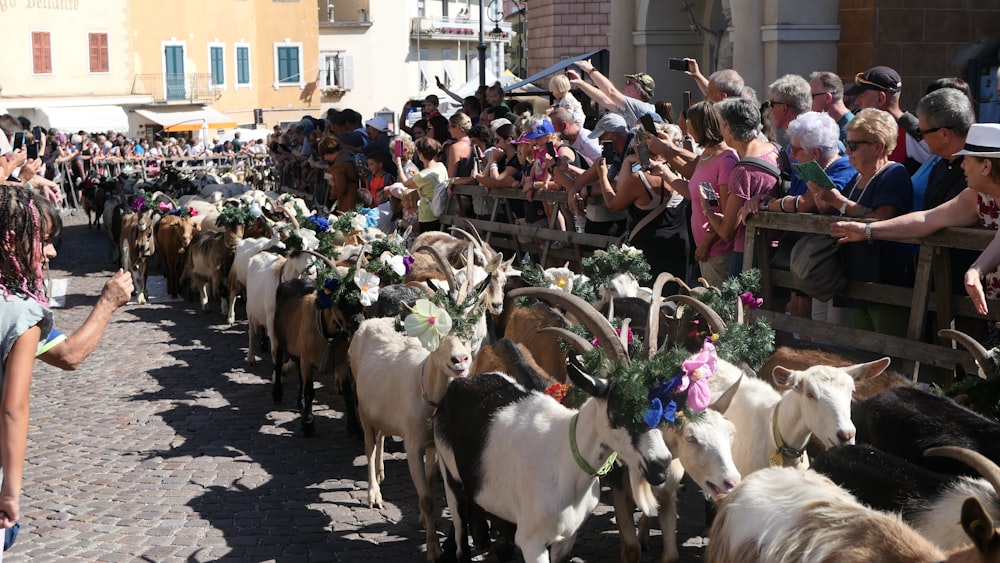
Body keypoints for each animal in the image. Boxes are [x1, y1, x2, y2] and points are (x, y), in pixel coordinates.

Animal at [432, 288, 672, 563]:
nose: (661, 465)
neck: (566, 459)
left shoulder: (566, 539)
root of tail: (460, 385)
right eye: (619, 407)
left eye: (660, 404)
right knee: (462, 536)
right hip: (451, 481)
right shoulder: (531, 541)